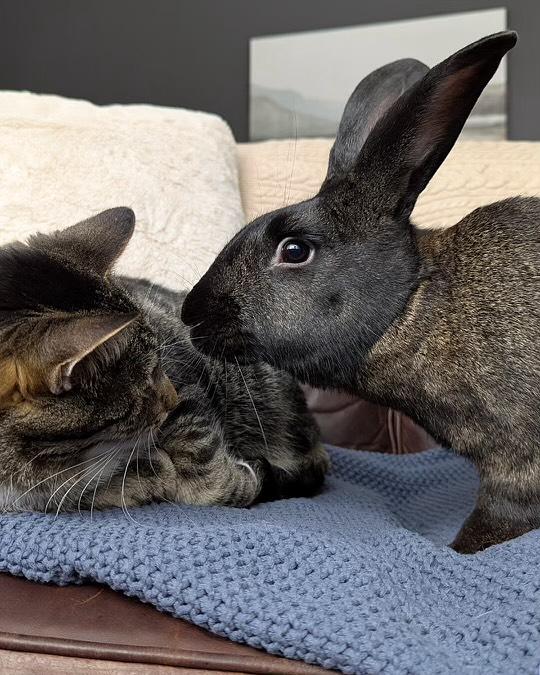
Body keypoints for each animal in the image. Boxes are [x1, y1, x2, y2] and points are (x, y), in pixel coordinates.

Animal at [181, 31, 540, 554]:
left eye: (294, 250)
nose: (190, 313)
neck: (414, 304)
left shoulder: (516, 465)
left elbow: (495, 522)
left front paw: (458, 550)